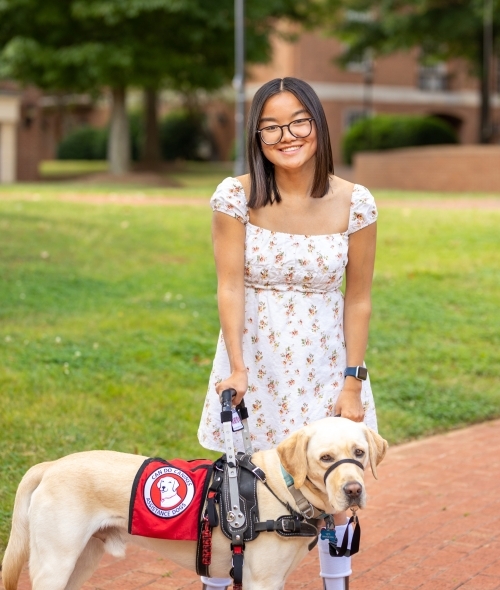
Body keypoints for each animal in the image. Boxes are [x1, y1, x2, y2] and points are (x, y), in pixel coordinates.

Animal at [1, 416, 388, 590]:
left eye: (359, 453)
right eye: (325, 458)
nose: (353, 490)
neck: (285, 488)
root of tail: (50, 465)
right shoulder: (261, 581)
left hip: (79, 562)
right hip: (55, 563)